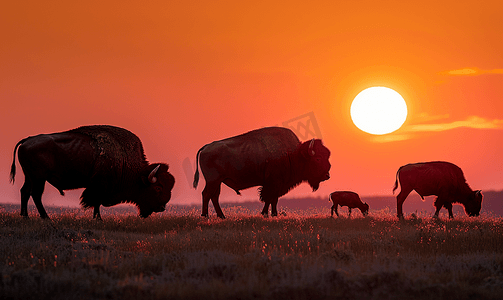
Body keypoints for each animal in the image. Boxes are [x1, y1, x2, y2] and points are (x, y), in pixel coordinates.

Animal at [8, 125, 176, 219]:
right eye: (158, 187)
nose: (162, 208)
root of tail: (27, 140)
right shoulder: (99, 185)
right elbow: (96, 201)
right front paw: (98, 218)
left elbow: (97, 201)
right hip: (39, 177)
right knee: (36, 194)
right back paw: (45, 217)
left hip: (30, 176)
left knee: (25, 191)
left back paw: (25, 216)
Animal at [193, 126, 330, 218]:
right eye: (318, 158)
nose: (327, 175)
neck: (292, 154)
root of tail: (206, 147)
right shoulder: (272, 184)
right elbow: (268, 198)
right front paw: (265, 213)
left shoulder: (278, 185)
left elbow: (274, 199)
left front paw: (274, 214)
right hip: (213, 181)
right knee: (206, 194)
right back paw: (205, 215)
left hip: (218, 182)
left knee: (214, 196)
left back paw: (221, 216)